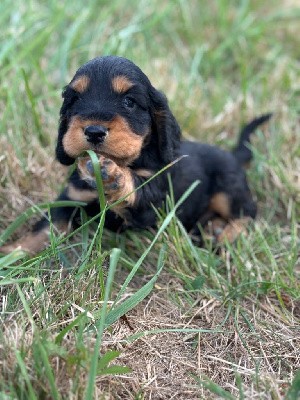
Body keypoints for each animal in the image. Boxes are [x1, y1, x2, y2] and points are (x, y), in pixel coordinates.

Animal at [0, 55, 272, 255]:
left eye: (129, 102)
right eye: (74, 99)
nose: (94, 131)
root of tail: (234, 156)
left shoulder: (153, 205)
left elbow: (137, 189)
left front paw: (112, 177)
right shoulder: (72, 199)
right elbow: (42, 229)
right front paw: (12, 253)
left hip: (228, 188)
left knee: (249, 212)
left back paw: (226, 234)